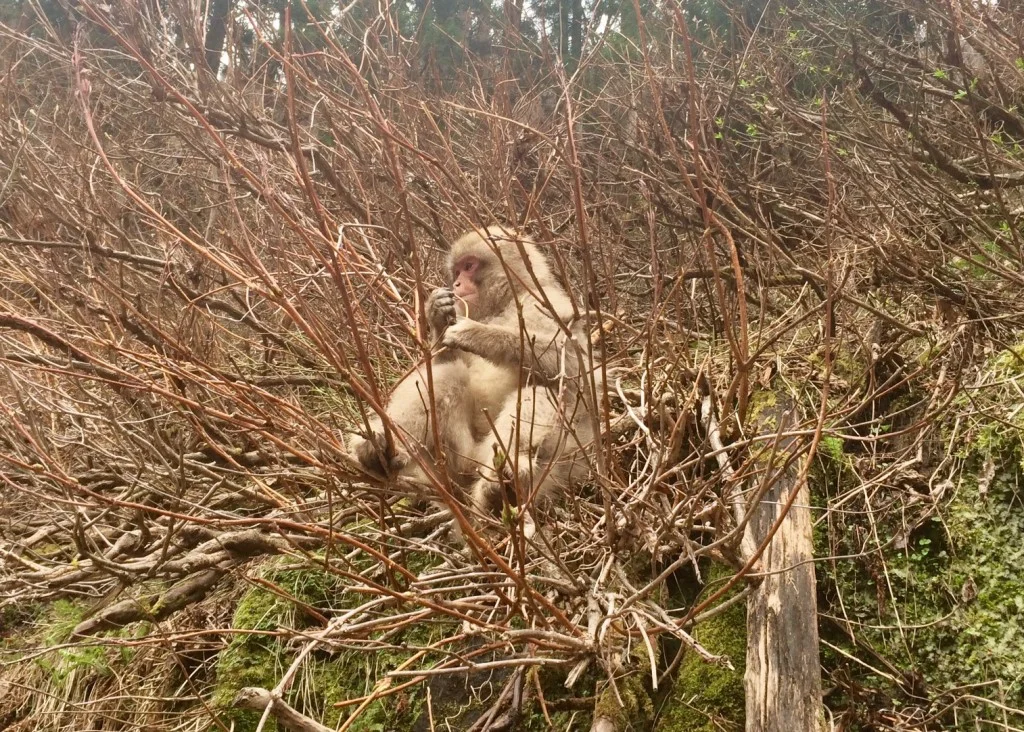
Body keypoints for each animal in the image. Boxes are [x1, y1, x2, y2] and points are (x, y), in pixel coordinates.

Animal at [352, 225, 598, 524]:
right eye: (456, 272)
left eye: (469, 266)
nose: (457, 284)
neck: (505, 304)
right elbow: (442, 363)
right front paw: (436, 313)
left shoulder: (550, 305)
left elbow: (573, 371)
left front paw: (477, 334)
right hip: (453, 462)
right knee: (447, 376)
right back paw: (381, 452)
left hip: (554, 464)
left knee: (544, 392)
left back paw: (504, 486)